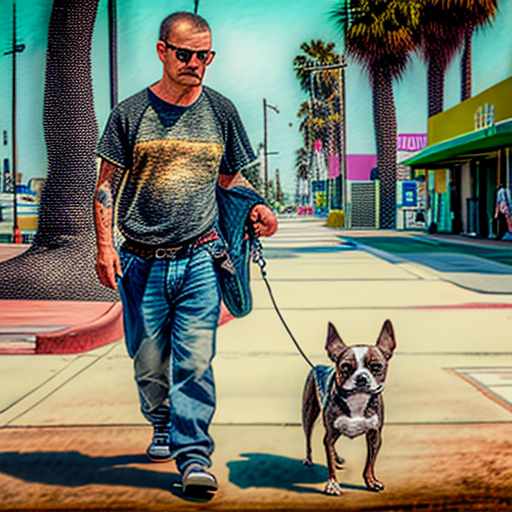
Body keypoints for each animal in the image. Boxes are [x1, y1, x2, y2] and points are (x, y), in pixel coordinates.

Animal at [302, 320, 398, 496]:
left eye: (376, 366)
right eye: (345, 366)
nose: (362, 378)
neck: (357, 400)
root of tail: (316, 366)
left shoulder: (374, 435)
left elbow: (370, 463)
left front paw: (371, 481)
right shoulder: (330, 433)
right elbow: (330, 464)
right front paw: (333, 485)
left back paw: (337, 457)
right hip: (309, 414)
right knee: (308, 438)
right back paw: (309, 459)